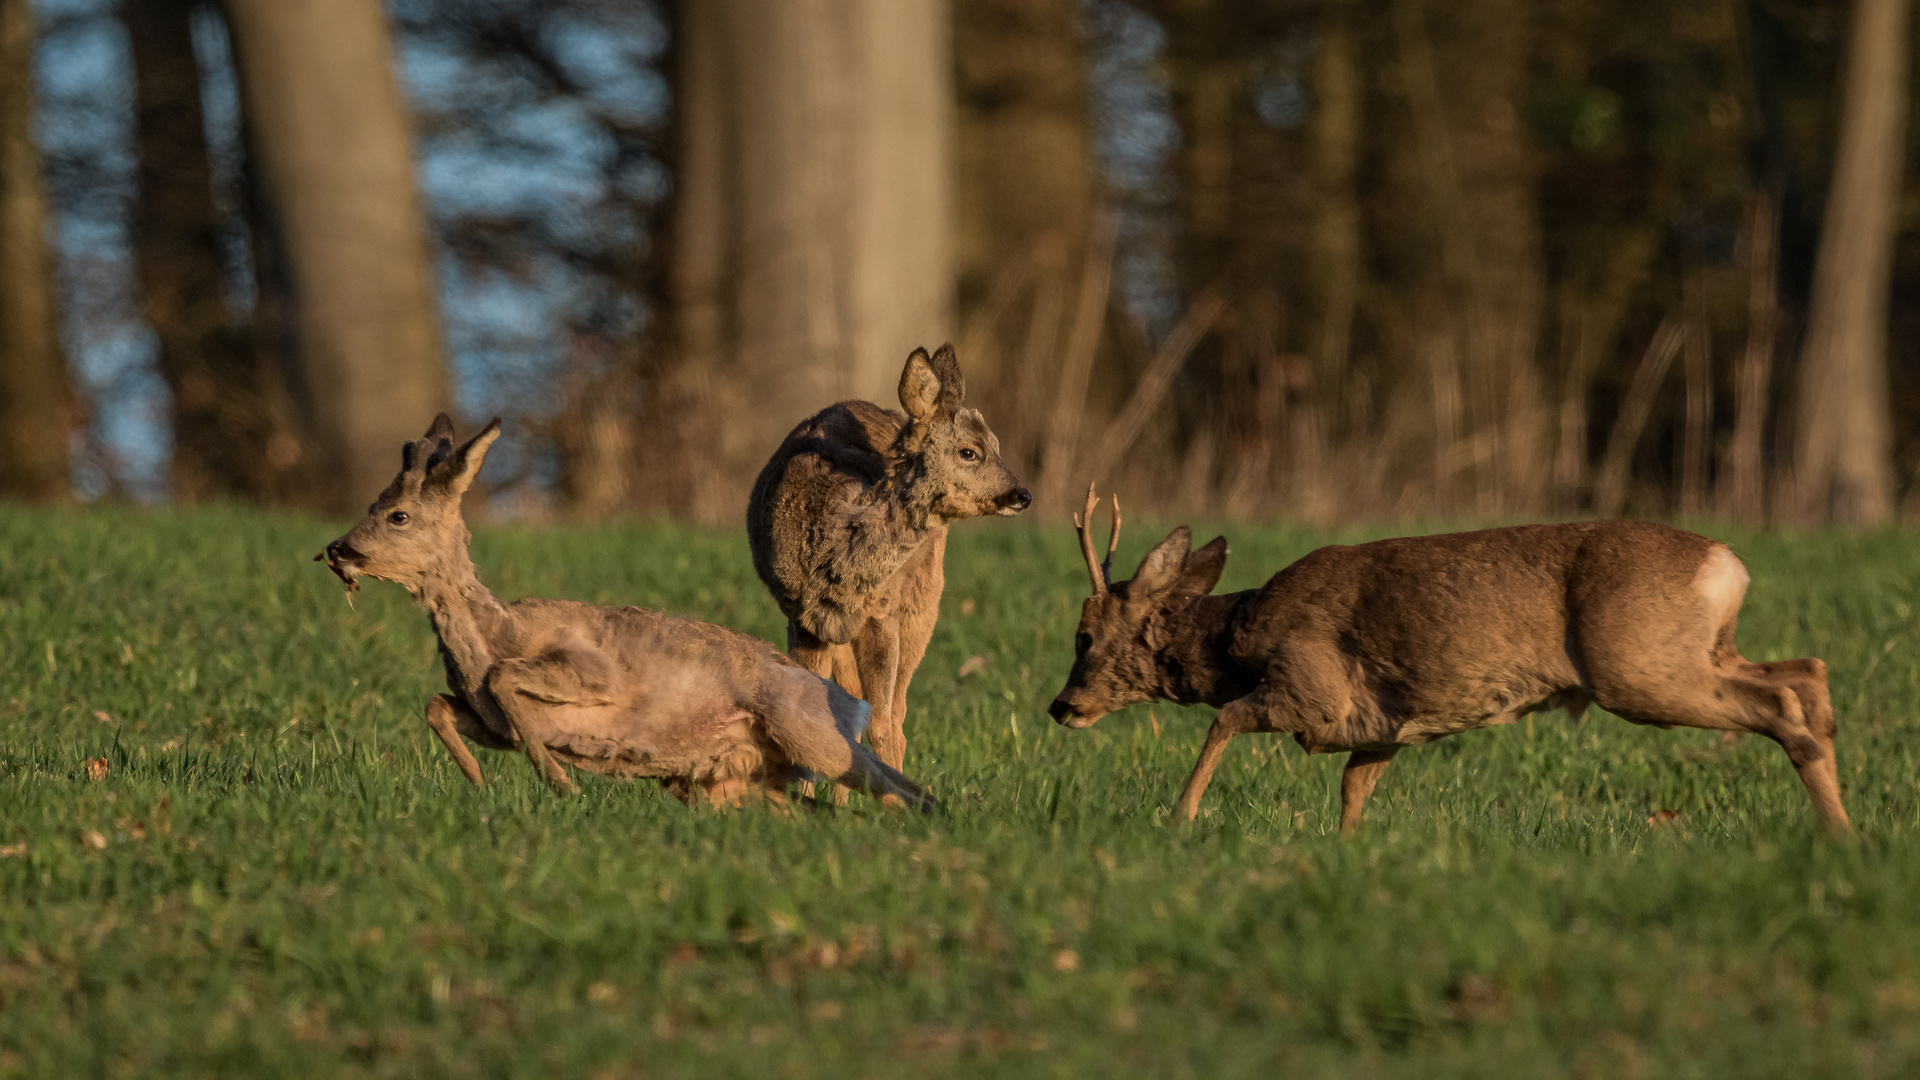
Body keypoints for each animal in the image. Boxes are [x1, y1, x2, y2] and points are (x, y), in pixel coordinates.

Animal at [320, 411, 936, 807]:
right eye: (372, 504)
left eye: (397, 515)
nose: (338, 549)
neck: (494, 634)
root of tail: (846, 703)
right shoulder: (487, 721)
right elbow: (436, 705)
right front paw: (480, 781)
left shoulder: (593, 674)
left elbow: (504, 680)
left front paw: (560, 782)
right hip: (757, 772)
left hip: (811, 732)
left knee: (904, 784)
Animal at [744, 343, 1036, 764]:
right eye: (969, 452)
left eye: (996, 446)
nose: (1022, 494)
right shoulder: (801, 617)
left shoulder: (883, 609)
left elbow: (884, 723)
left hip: (925, 596)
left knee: (896, 711)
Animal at [1044, 488, 1850, 834]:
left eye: (1085, 635)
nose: (1061, 706)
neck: (1239, 637)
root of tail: (1727, 563)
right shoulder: (1380, 729)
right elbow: (1353, 792)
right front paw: (1347, 852)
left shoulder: (1312, 691)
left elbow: (1225, 722)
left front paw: (1178, 816)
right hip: (1698, 651)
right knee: (1806, 672)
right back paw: (1844, 828)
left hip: (1637, 667)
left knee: (1781, 705)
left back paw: (1836, 831)